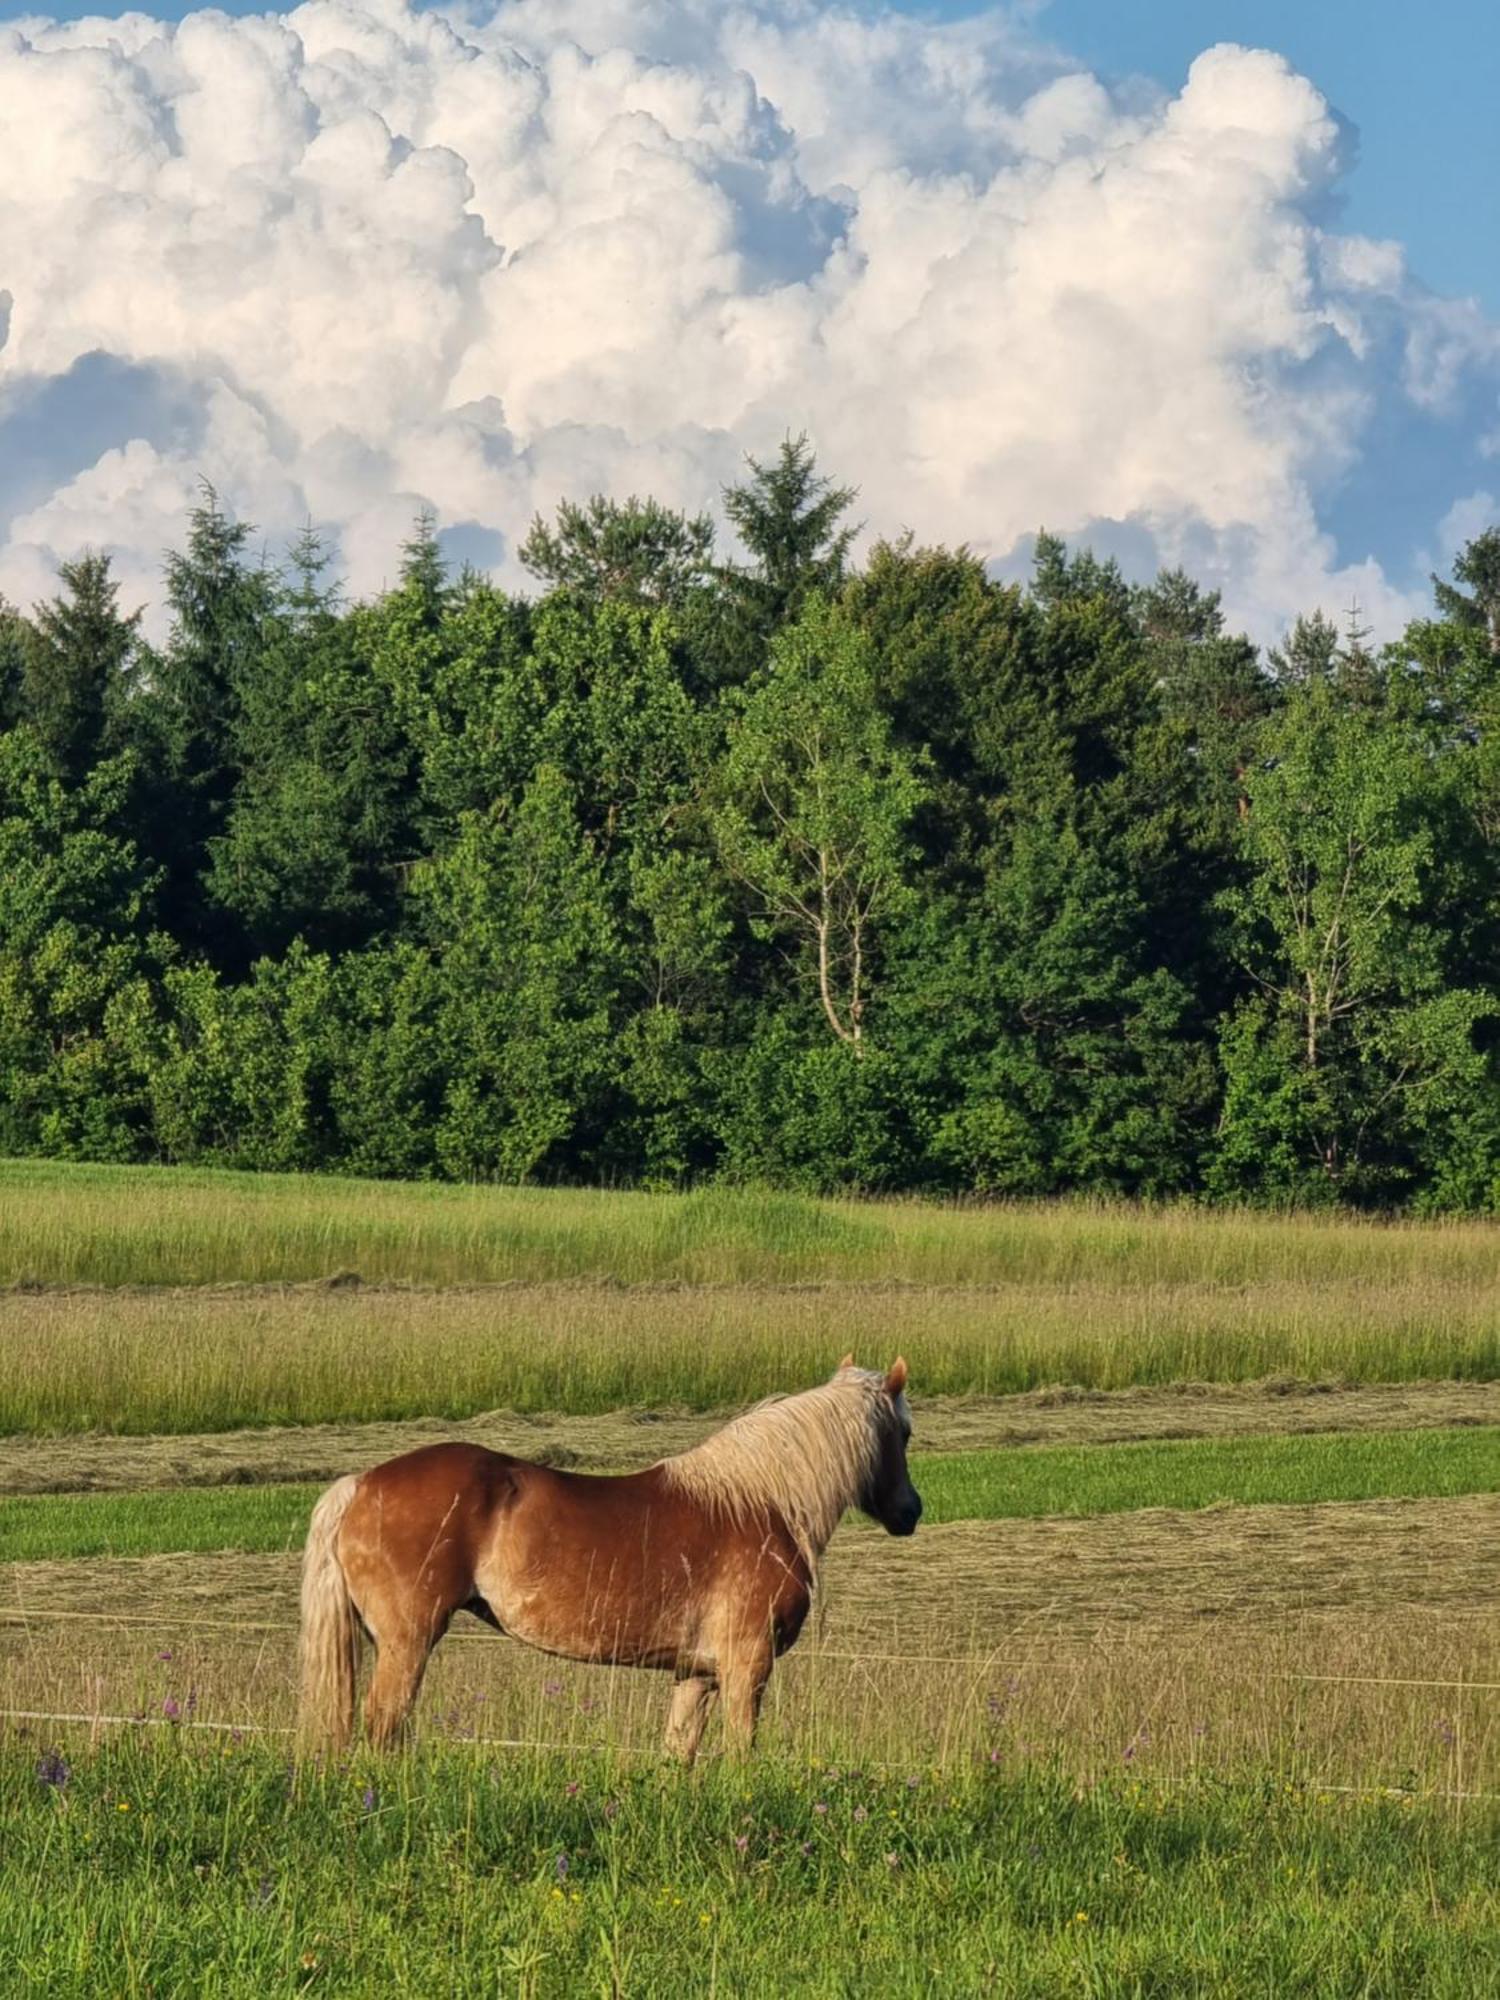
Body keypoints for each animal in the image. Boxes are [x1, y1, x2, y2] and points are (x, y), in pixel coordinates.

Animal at [300, 1352, 924, 1760]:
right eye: (904, 1433)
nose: (911, 1511)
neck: (759, 1503)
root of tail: (359, 1484)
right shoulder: (748, 1667)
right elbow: (741, 1754)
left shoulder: (697, 1675)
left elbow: (679, 1756)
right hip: (408, 1642)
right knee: (384, 1727)